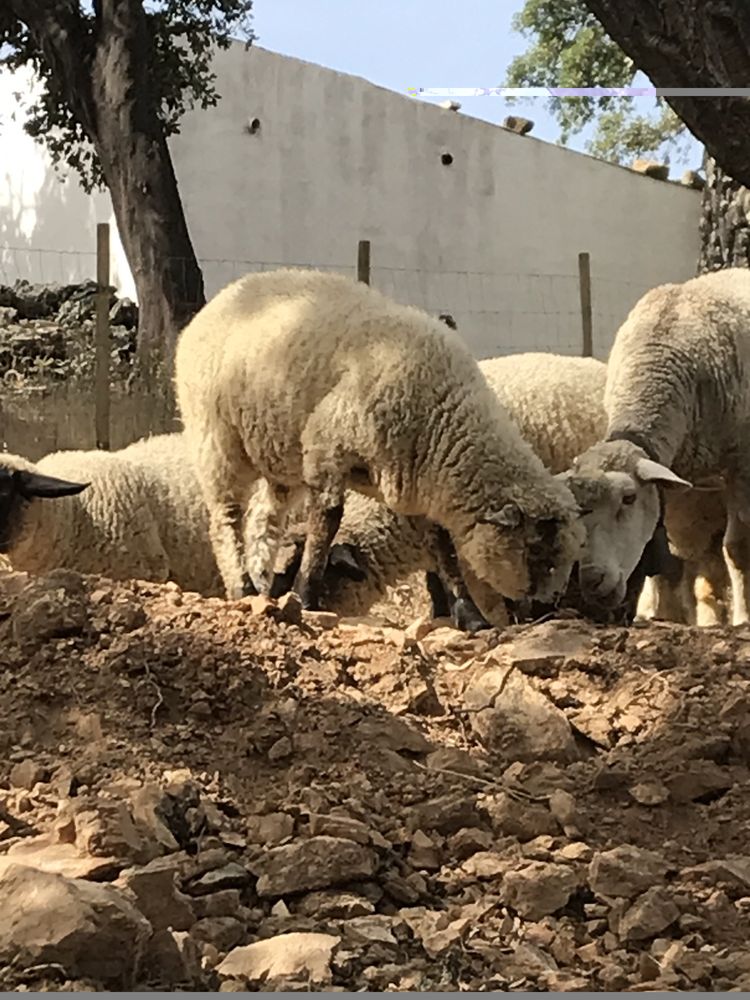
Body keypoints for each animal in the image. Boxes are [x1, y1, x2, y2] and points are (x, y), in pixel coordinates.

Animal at [172, 268, 588, 624]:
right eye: (537, 550)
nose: (547, 609)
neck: (443, 413)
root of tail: (225, 296)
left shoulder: (415, 484)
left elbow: (442, 548)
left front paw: (469, 616)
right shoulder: (328, 447)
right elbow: (327, 522)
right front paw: (306, 596)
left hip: (277, 458)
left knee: (262, 517)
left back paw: (261, 584)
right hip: (215, 436)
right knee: (225, 518)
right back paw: (242, 587)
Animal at [560, 266, 750, 624]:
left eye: (629, 498)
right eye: (579, 506)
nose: (592, 580)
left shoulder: (742, 465)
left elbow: (738, 548)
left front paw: (744, 618)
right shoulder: (671, 478)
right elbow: (663, 553)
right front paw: (664, 615)